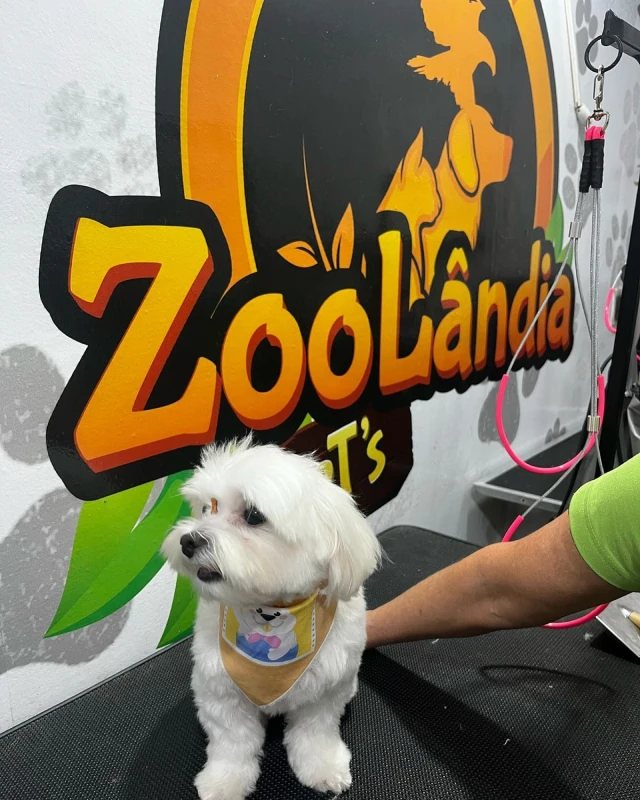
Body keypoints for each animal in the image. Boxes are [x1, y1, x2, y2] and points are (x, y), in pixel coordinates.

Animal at [161, 437, 381, 799]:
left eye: (253, 515)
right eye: (208, 509)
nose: (188, 540)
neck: (269, 608)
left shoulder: (326, 689)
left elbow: (315, 733)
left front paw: (323, 767)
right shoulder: (220, 691)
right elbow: (232, 743)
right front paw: (224, 782)